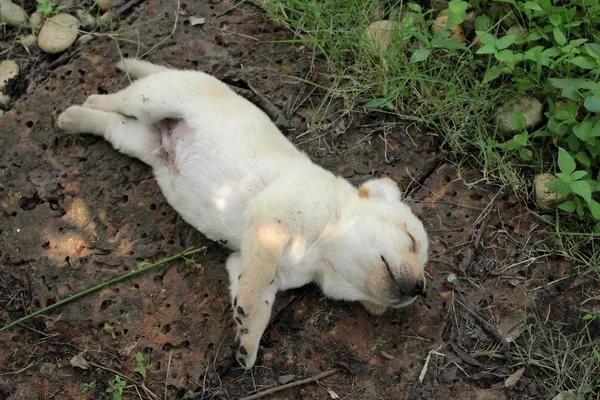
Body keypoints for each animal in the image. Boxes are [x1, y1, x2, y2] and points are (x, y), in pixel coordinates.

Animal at [57, 57, 426, 370]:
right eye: (410, 240)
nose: (421, 288)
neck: (326, 247)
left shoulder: (251, 265)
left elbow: (260, 301)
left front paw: (247, 341)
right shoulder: (272, 221)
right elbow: (259, 274)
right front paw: (246, 311)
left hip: (138, 140)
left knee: (110, 123)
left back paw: (76, 118)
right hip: (154, 100)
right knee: (114, 98)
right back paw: (76, 110)